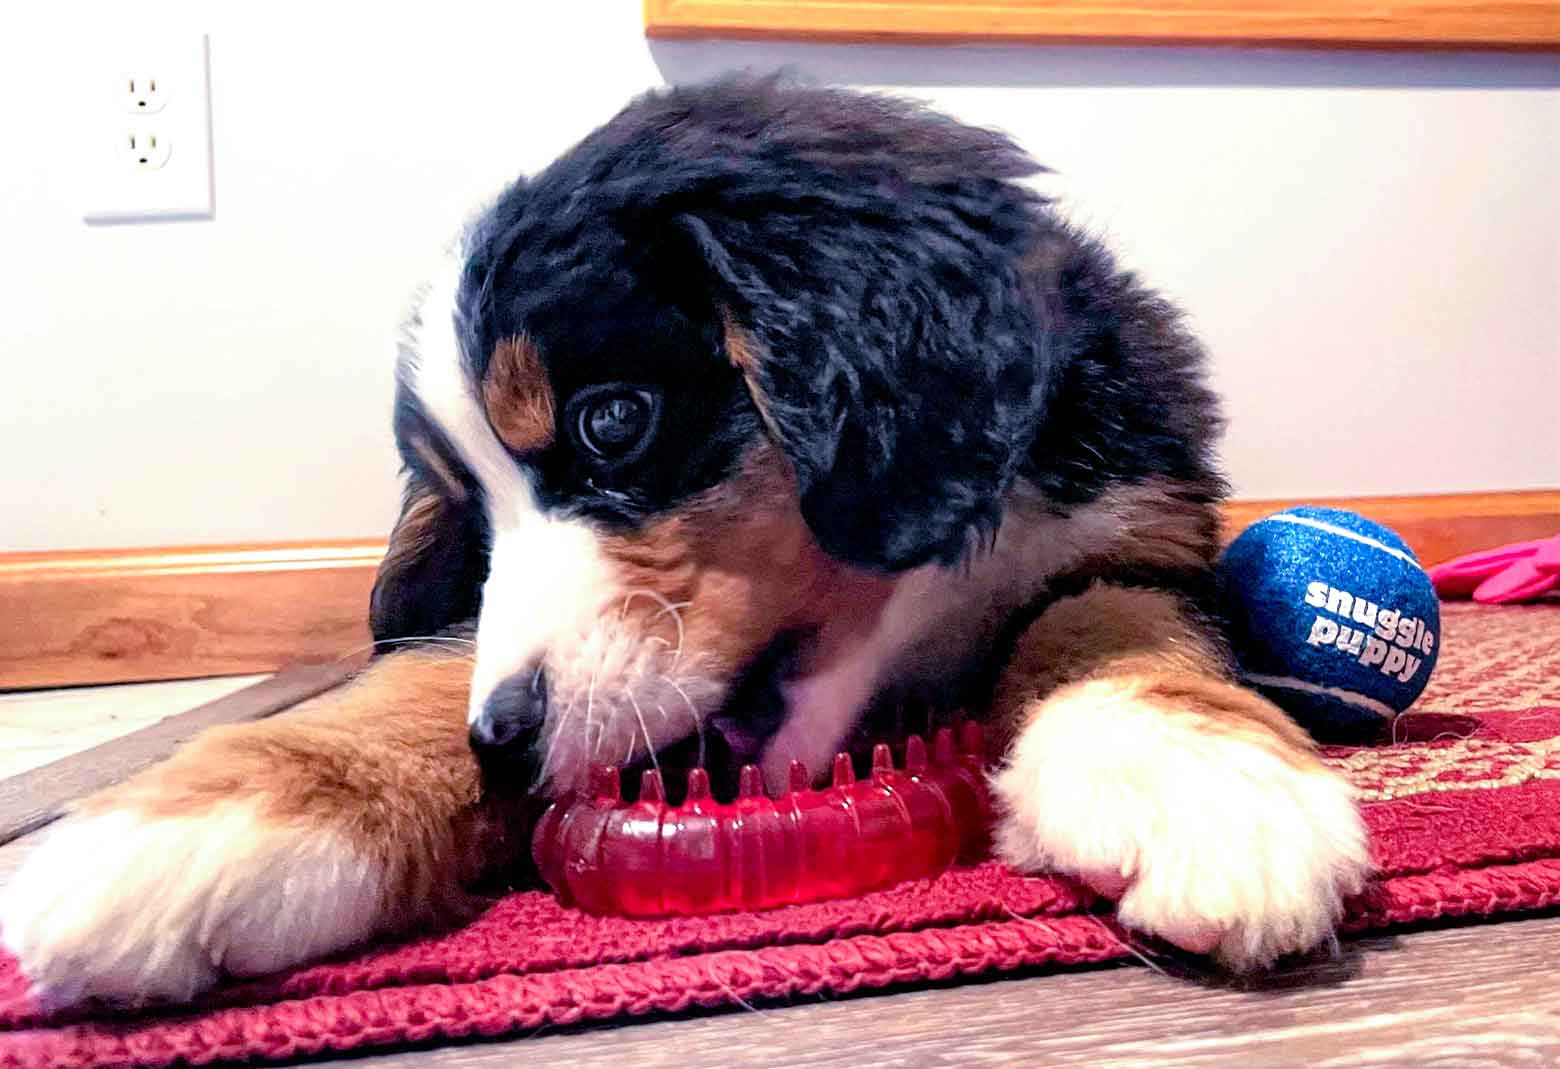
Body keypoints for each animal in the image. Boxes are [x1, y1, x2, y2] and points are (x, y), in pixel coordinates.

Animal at [0, 79, 1366, 1005]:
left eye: (614, 421)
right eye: (472, 516)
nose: (506, 742)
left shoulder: (1143, 526)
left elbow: (1113, 624)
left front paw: (1198, 782)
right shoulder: (463, 637)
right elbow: (418, 677)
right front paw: (189, 827)